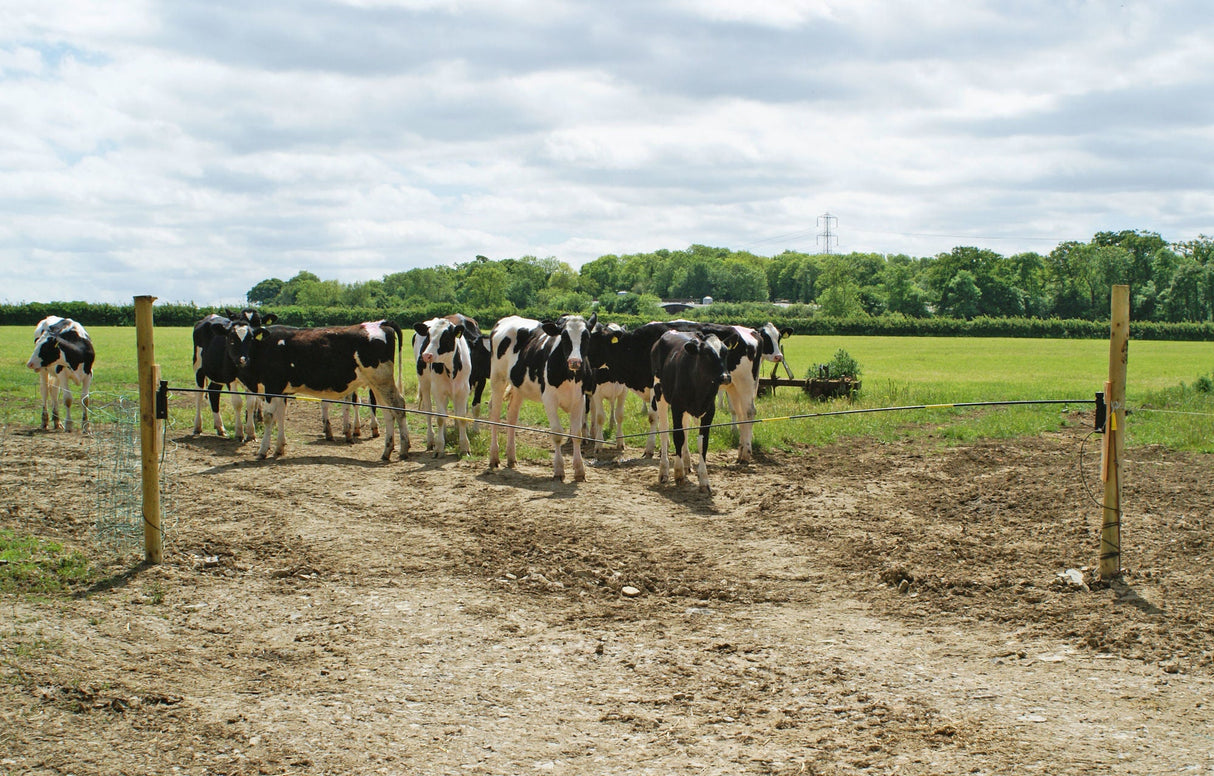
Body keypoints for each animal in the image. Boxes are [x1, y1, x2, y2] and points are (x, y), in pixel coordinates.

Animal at [228, 318, 412, 461]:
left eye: (250, 338)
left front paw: (263, 451)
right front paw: (279, 448)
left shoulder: (271, 387)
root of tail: (380, 323)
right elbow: (280, 416)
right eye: (231, 338)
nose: (242, 359)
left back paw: (403, 449)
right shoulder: (280, 390)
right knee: (388, 412)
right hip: (376, 384)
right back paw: (387, 450)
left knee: (399, 406)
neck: (264, 348)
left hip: (382, 380)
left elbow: (269, 418)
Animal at [485, 313, 594, 483]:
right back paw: (494, 458)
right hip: (497, 379)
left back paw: (511, 458)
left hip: (519, 387)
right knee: (495, 416)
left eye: (586, 336)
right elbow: (557, 433)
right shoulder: (549, 398)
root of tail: (506, 319)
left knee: (512, 416)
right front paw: (559, 470)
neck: (569, 376)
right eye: (564, 336)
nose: (575, 362)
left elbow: (576, 434)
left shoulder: (579, 399)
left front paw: (579, 470)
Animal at [655, 330, 728, 495]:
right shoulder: (676, 407)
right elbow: (678, 436)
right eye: (707, 353)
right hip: (659, 393)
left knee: (686, 428)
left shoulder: (709, 412)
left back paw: (687, 463)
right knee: (664, 430)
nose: (726, 377)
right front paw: (678, 473)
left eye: (725, 352)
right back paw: (664, 471)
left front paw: (704, 480)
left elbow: (702, 443)